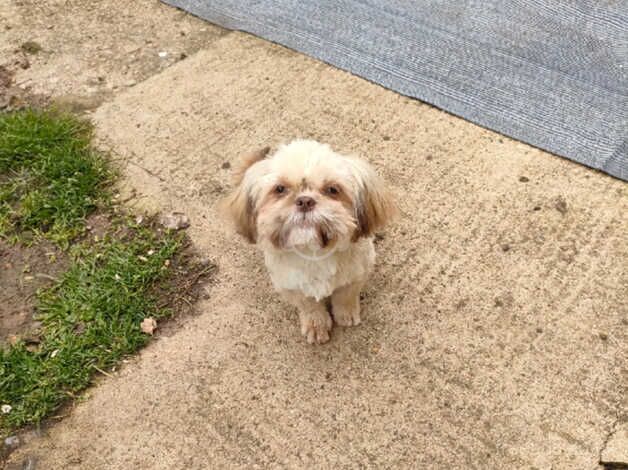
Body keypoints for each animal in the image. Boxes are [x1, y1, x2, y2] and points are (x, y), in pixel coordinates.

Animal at [223, 138, 394, 344]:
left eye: (332, 189)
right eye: (280, 189)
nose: (305, 201)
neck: (313, 253)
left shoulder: (357, 273)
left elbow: (345, 295)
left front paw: (346, 313)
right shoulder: (291, 286)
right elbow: (309, 306)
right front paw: (316, 325)